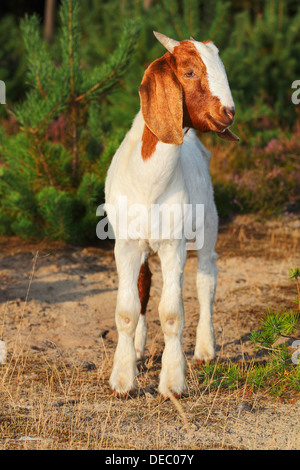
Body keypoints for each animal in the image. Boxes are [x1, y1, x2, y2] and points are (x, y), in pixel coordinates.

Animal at [105, 30, 239, 396]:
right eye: (190, 72)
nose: (229, 113)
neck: (149, 183)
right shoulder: (125, 243)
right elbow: (127, 310)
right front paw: (123, 379)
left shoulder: (173, 244)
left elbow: (172, 314)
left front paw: (172, 382)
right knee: (144, 283)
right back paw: (138, 347)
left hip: (207, 225)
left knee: (206, 277)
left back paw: (205, 348)